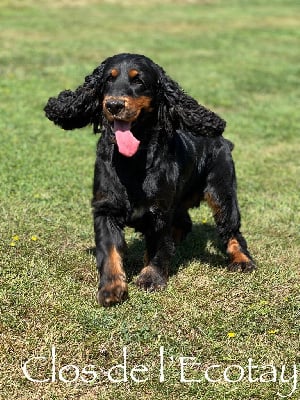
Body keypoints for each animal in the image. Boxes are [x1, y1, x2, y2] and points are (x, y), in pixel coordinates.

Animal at [44, 52, 255, 306]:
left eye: (139, 81)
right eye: (108, 79)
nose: (113, 105)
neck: (133, 160)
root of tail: (223, 140)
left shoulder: (159, 211)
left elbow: (156, 245)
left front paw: (151, 278)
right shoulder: (106, 208)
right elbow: (109, 249)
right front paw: (111, 288)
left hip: (221, 190)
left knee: (231, 229)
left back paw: (242, 261)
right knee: (184, 223)